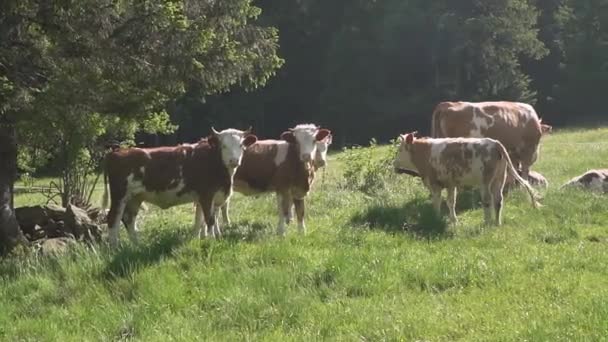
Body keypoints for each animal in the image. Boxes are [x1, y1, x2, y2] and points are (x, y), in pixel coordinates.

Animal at [101, 127, 256, 246]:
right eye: (223, 146)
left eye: (241, 145)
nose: (234, 160)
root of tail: (116, 152)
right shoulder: (207, 195)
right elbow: (210, 219)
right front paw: (211, 240)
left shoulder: (204, 197)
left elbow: (199, 221)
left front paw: (197, 240)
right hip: (120, 196)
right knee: (113, 219)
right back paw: (114, 249)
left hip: (135, 197)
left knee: (129, 220)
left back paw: (136, 246)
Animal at [392, 132, 540, 226]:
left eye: (399, 150)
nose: (394, 163)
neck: (425, 152)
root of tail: (494, 143)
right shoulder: (450, 184)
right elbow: (451, 202)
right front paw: (454, 221)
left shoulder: (434, 183)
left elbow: (437, 201)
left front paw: (436, 218)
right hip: (499, 179)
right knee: (498, 200)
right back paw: (497, 223)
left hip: (485, 182)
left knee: (487, 200)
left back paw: (487, 222)